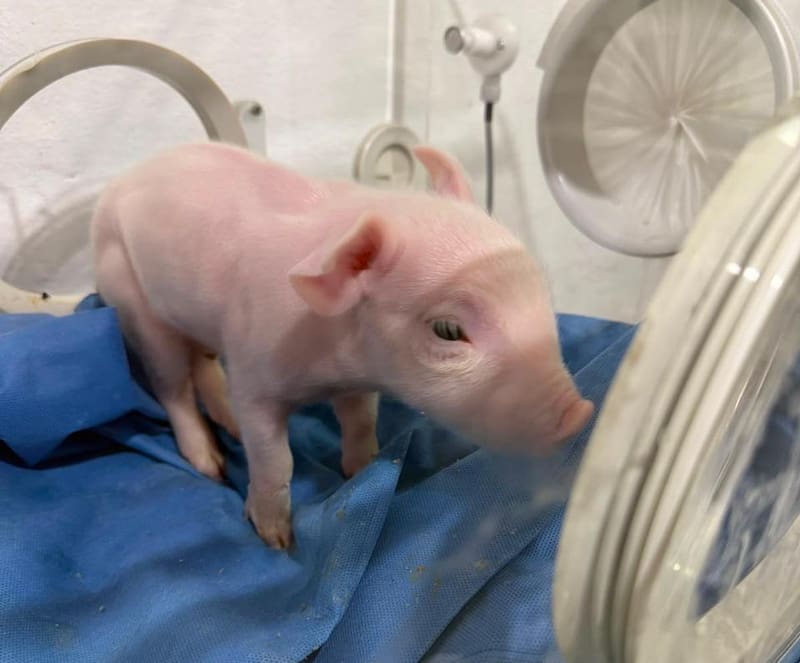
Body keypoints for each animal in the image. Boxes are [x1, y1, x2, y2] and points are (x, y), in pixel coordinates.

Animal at [90, 141, 594, 549]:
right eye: (448, 330)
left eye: (539, 293)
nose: (580, 413)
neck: (331, 364)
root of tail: (117, 185)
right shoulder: (254, 373)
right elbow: (275, 460)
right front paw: (277, 540)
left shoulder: (357, 380)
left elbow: (360, 420)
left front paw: (361, 471)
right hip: (130, 298)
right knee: (171, 386)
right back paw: (210, 463)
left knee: (203, 366)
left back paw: (226, 422)